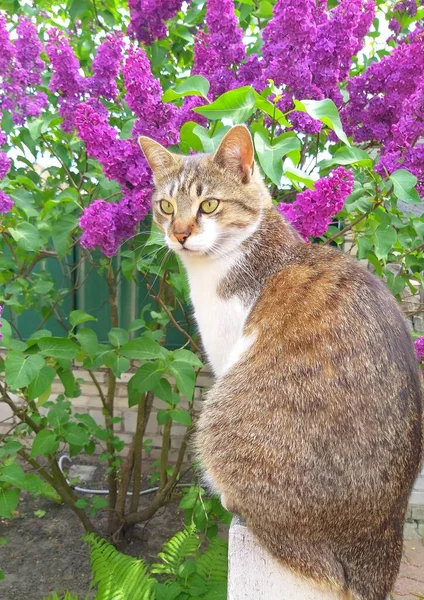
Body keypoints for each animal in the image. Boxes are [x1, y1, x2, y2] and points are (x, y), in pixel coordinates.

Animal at [140, 126, 424, 600]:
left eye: (208, 205)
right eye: (165, 207)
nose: (178, 233)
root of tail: (376, 541)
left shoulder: (228, 351)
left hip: (223, 415)